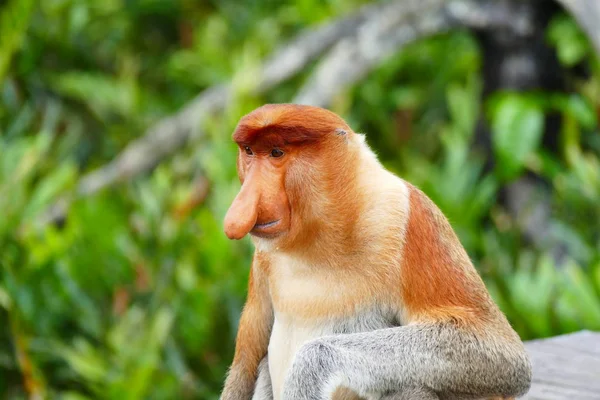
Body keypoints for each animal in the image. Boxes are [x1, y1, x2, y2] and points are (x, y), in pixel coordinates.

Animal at [219, 104, 528, 400]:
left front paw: (308, 372)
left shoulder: (411, 218)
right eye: (249, 152)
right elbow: (245, 367)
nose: (239, 211)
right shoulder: (262, 260)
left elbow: (503, 354)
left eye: (276, 152)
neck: (318, 238)